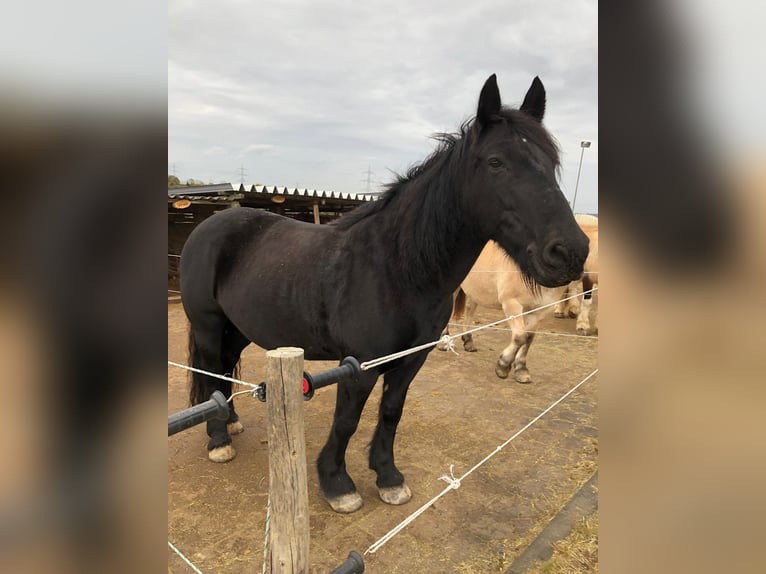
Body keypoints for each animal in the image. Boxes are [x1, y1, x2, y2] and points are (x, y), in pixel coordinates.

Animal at [179, 74, 590, 514]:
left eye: (552, 163)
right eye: (496, 162)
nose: (570, 252)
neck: (397, 269)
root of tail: (210, 225)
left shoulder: (410, 361)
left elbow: (392, 412)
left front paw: (388, 477)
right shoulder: (360, 365)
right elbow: (347, 420)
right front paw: (338, 484)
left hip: (238, 328)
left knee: (223, 368)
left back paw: (231, 422)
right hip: (208, 326)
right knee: (210, 369)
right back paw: (219, 440)